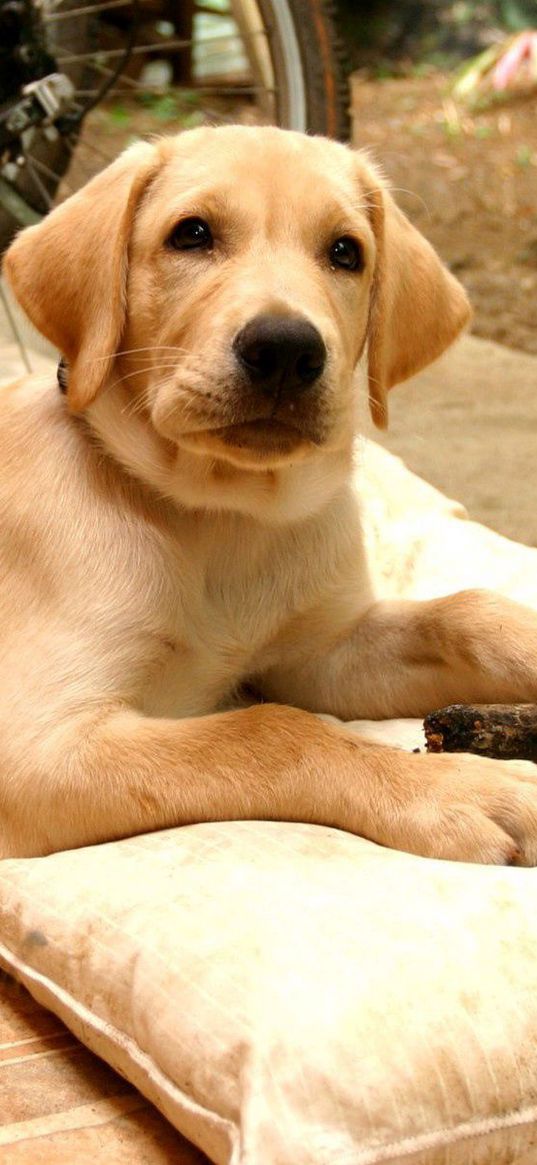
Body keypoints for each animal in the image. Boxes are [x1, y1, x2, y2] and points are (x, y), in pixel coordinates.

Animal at [3, 127, 535, 862]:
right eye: (191, 234)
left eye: (345, 251)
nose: (284, 349)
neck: (224, 516)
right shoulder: (38, 744)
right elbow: (272, 731)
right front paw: (455, 787)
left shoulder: (322, 652)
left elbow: (465, 613)